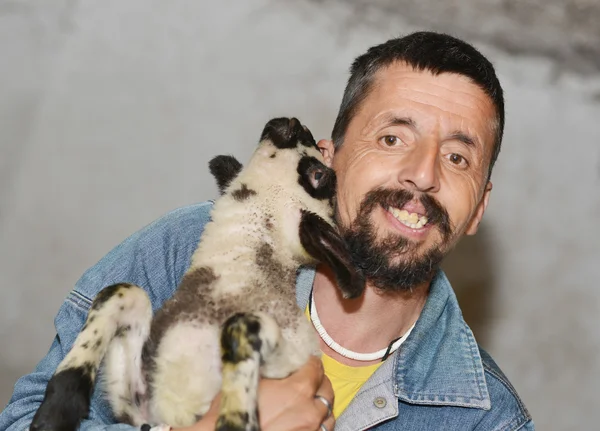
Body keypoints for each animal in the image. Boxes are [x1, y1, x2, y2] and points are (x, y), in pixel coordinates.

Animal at [32, 117, 366, 431]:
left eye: (319, 175)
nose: (294, 124)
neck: (231, 277)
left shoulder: (290, 360)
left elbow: (242, 326)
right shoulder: (139, 409)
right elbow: (121, 290)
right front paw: (54, 415)